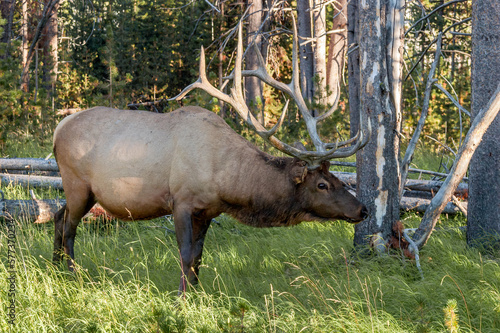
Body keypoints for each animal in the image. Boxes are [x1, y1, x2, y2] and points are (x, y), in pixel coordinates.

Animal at [52, 19, 370, 292]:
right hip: (77, 183)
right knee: (69, 227)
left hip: (83, 191)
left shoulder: (209, 210)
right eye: (322, 185)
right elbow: (185, 255)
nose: (362, 210)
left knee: (57, 215)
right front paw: (182, 298)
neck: (226, 182)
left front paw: (197, 294)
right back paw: (72, 275)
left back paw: (54, 269)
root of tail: (59, 128)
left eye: (338, 179)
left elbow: (198, 258)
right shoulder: (180, 201)